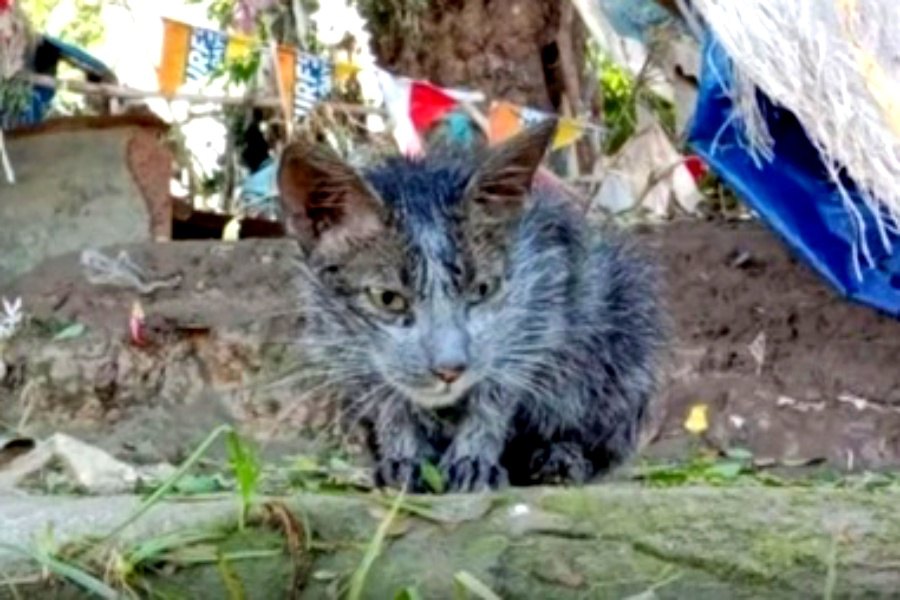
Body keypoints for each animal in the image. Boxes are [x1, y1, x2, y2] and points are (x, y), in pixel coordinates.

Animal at [278, 120, 664, 492]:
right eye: (388, 299)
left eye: (482, 290)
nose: (451, 370)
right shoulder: (339, 344)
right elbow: (388, 399)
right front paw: (404, 457)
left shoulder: (539, 293)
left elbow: (496, 388)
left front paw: (473, 457)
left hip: (622, 323)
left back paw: (561, 456)